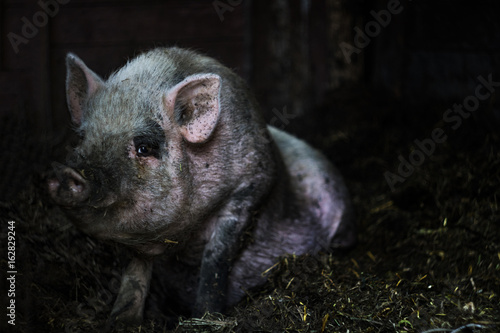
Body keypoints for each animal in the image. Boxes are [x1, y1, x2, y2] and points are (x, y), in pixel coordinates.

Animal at [47, 45, 356, 322]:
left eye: (145, 148)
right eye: (81, 139)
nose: (63, 174)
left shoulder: (252, 184)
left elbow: (216, 258)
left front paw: (205, 317)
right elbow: (135, 274)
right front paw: (121, 321)